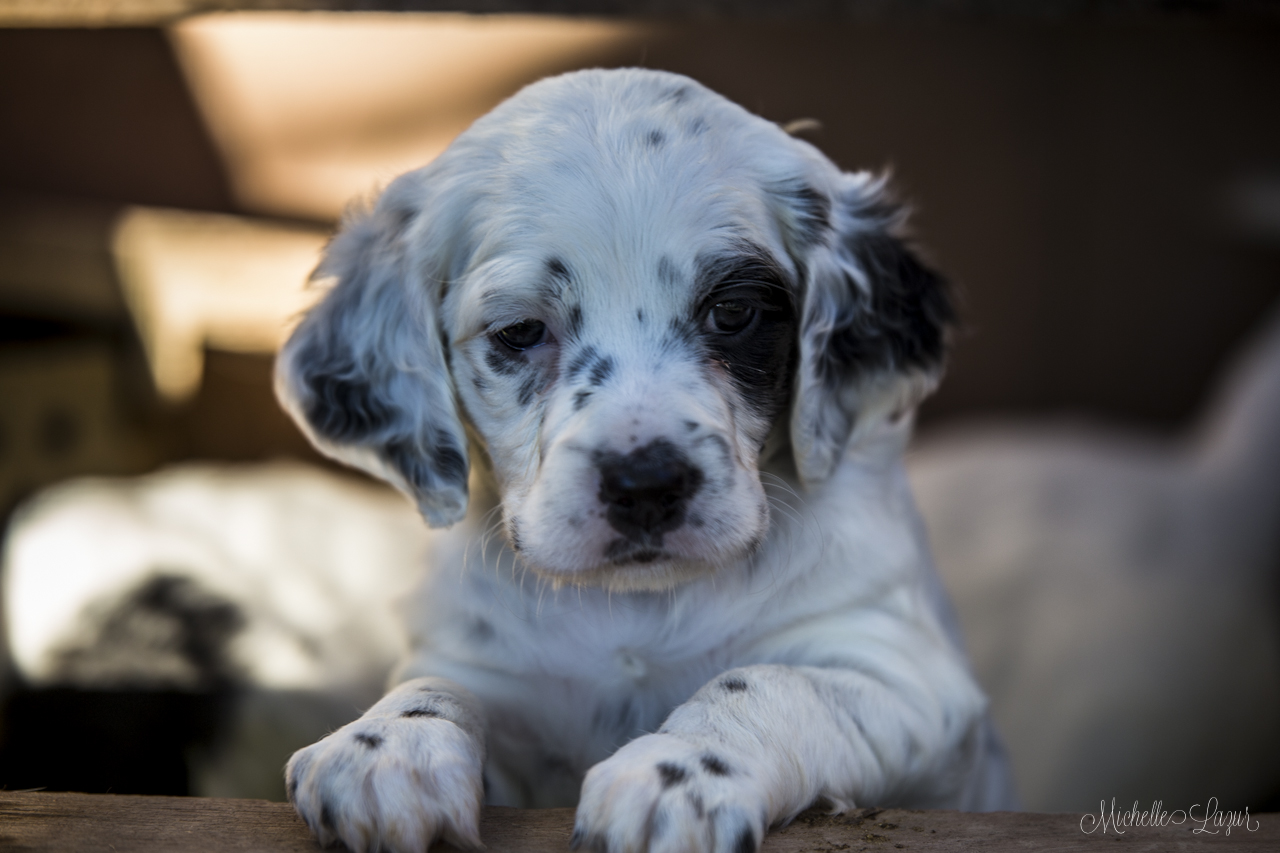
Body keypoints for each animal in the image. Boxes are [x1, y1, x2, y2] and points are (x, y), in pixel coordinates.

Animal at [275, 66, 1013, 850]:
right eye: (519, 330)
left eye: (734, 313)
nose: (646, 485)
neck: (641, 608)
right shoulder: (491, 670)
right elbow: (441, 684)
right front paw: (387, 744)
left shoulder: (912, 684)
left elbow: (772, 680)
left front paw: (678, 772)